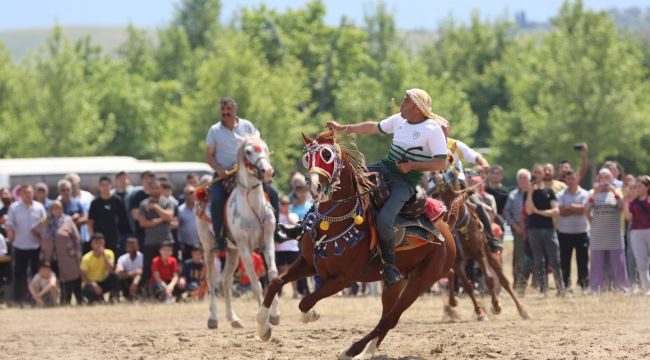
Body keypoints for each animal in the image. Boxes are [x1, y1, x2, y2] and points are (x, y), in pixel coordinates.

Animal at [195, 136, 280, 332]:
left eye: (265, 147)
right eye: (248, 151)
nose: (267, 171)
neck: (253, 207)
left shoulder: (268, 242)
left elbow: (272, 275)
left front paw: (274, 315)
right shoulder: (244, 248)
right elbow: (256, 282)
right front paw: (264, 322)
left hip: (232, 252)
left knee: (226, 281)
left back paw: (233, 318)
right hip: (209, 249)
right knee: (212, 281)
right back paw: (213, 318)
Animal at [254, 132, 456, 360]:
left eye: (326, 154)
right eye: (307, 158)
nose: (314, 187)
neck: (334, 222)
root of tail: (446, 231)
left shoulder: (343, 279)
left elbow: (305, 302)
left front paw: (312, 314)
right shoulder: (308, 263)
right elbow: (276, 282)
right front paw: (263, 328)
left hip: (420, 281)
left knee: (390, 319)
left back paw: (351, 350)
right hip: (395, 283)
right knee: (386, 317)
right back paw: (367, 353)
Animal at [428, 172, 528, 320]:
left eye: (454, 197)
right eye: (440, 198)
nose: (446, 220)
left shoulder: (479, 252)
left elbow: (489, 279)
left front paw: (496, 306)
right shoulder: (456, 260)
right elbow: (467, 285)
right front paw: (480, 312)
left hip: (489, 252)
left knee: (502, 279)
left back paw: (522, 310)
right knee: (452, 276)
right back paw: (453, 304)